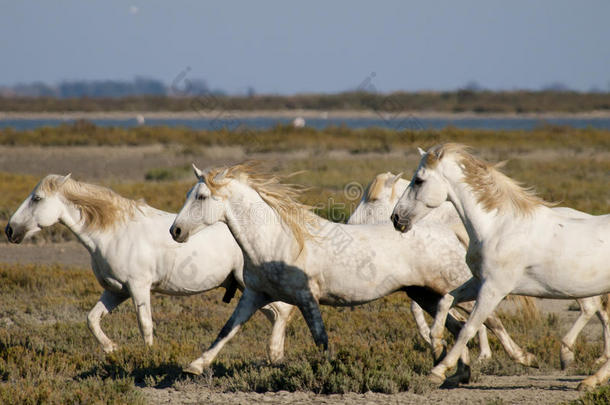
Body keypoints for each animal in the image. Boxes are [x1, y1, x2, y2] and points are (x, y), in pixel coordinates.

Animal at [170, 163, 532, 378]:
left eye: (201, 196)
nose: (175, 231)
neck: (278, 240)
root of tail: (448, 232)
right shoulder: (255, 295)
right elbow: (226, 331)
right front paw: (194, 366)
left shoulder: (307, 297)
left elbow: (320, 337)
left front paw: (329, 370)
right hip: (425, 295)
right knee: (456, 327)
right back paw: (454, 372)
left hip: (453, 289)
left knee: (487, 321)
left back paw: (520, 358)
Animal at [390, 144, 608, 388]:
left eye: (418, 180)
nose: (396, 218)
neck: (498, 227)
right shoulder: (479, 282)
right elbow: (446, 300)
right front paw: (437, 344)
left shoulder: (494, 289)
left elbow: (469, 328)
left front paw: (439, 370)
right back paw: (588, 378)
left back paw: (583, 372)